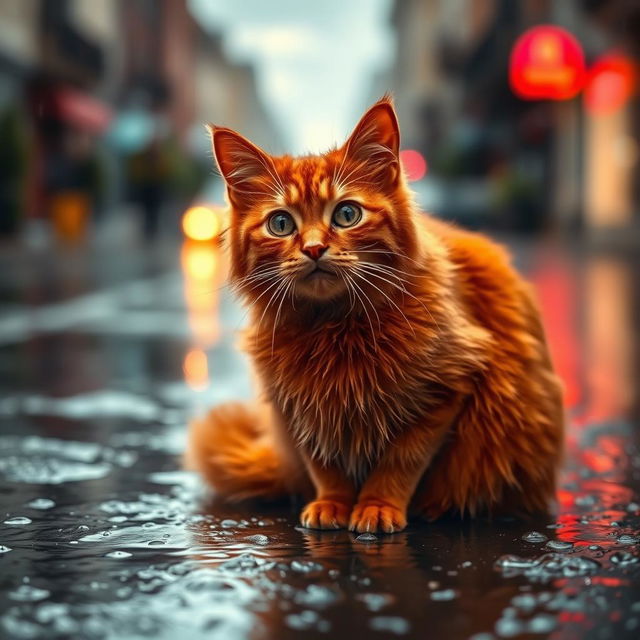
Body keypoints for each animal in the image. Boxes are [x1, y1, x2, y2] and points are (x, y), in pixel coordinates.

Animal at [186, 96, 564, 536]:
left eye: (347, 215)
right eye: (280, 224)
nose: (314, 249)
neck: (334, 328)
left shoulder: (445, 389)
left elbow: (399, 463)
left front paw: (377, 507)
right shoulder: (298, 406)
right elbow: (325, 468)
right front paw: (333, 504)